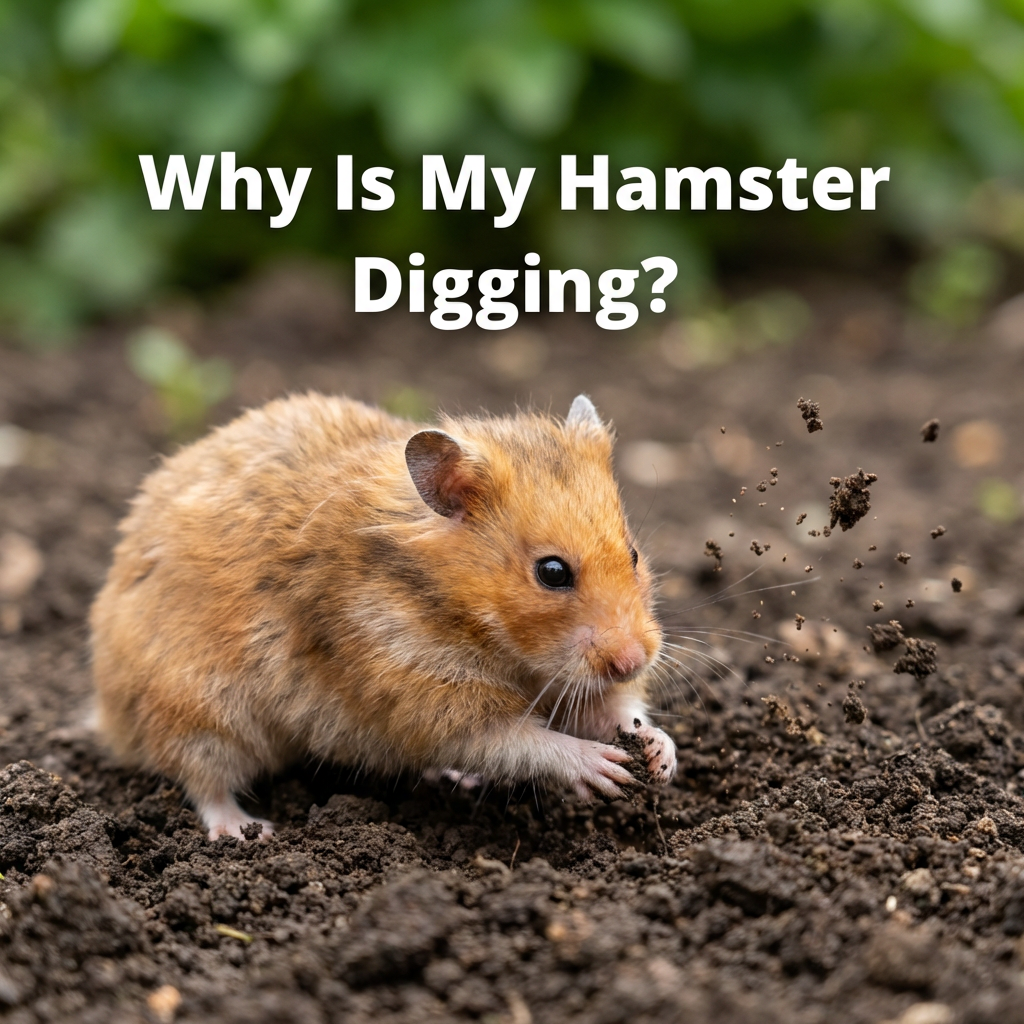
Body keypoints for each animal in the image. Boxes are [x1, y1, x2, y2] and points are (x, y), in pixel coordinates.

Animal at [90, 392, 676, 839]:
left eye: (633, 554)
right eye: (552, 572)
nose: (633, 661)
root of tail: (108, 714)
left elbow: (618, 710)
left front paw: (660, 757)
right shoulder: (426, 700)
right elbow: (522, 743)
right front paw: (606, 769)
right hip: (199, 710)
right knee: (201, 778)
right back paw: (244, 831)